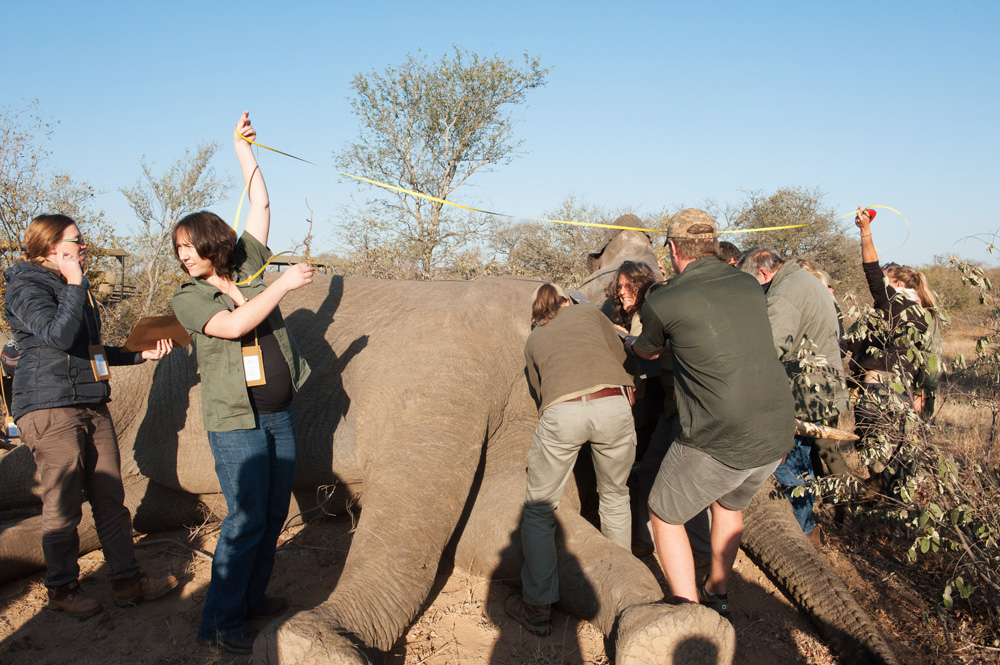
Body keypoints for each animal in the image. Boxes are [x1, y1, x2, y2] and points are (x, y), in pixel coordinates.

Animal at [0, 224, 892, 664]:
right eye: (684, 382)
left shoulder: (520, 409)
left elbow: (499, 525)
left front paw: (665, 633)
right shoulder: (443, 382)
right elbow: (431, 525)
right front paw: (314, 644)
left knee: (113, 514)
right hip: (115, 396)